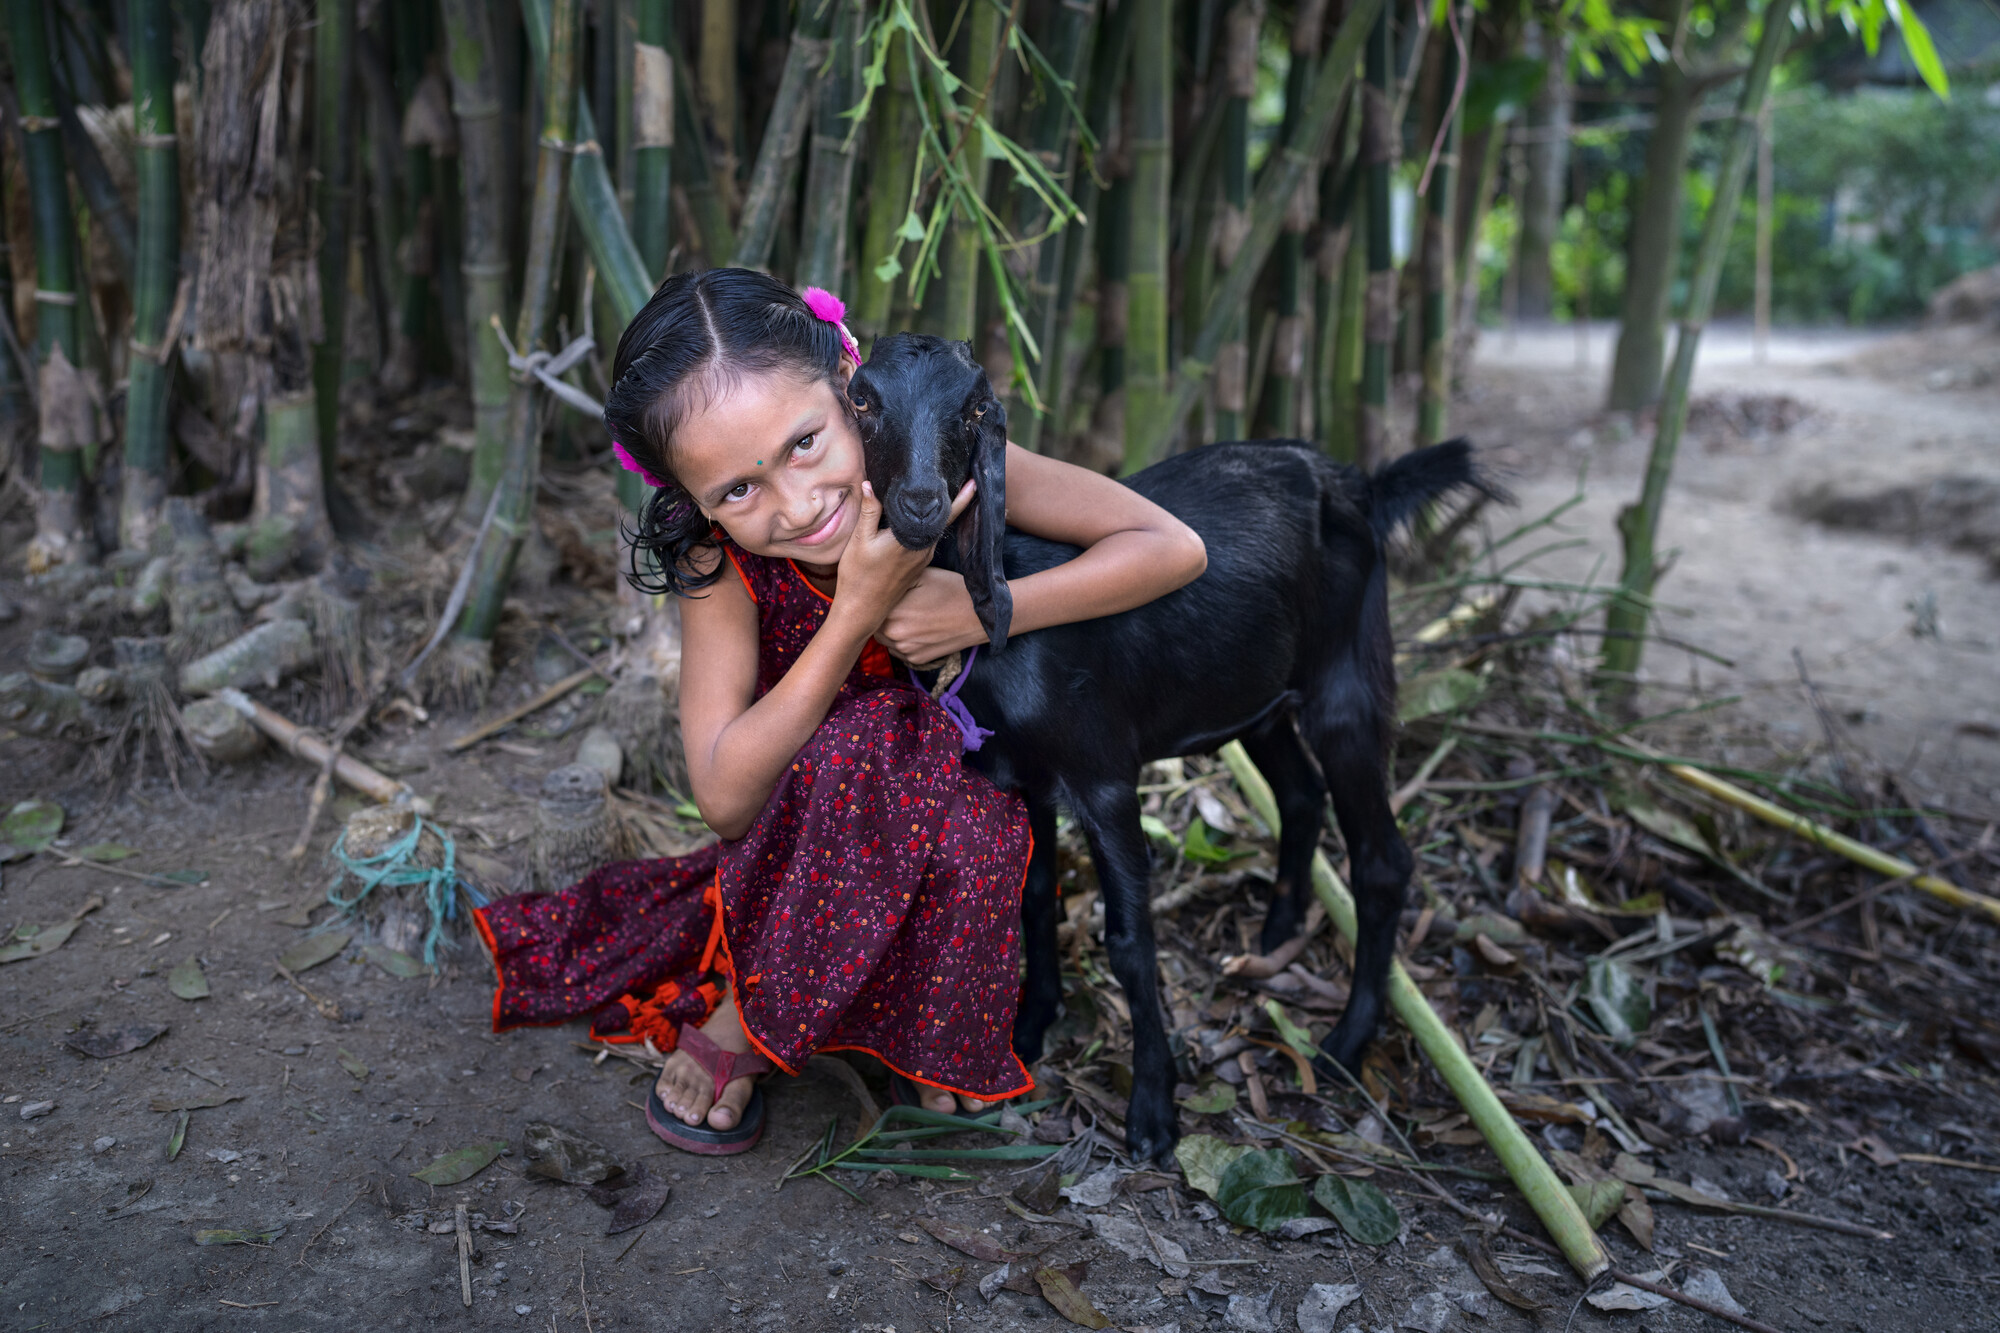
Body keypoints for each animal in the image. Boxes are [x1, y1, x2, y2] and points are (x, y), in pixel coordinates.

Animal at [852, 332, 1496, 1152]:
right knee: (1300, 793)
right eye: (863, 399)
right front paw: (1030, 1027)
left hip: (1346, 678)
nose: (920, 503)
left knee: (1382, 859)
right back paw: (1275, 936)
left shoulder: (1103, 774)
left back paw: (1344, 1046)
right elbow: (1035, 894)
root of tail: (1360, 484)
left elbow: (1129, 938)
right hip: (1256, 699)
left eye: (974, 408)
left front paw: (1154, 1110)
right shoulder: (1018, 772)